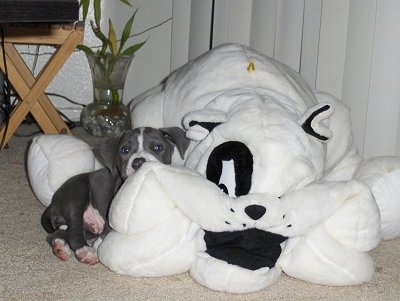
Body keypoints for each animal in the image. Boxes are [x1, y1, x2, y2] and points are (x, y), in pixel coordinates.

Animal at [41, 126, 190, 262]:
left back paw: (60, 246)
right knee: (74, 231)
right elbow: (107, 231)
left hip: (88, 227)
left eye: (158, 147)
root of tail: (52, 203)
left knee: (58, 233)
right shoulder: (111, 214)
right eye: (125, 150)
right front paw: (98, 245)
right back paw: (84, 251)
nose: (138, 162)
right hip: (77, 193)